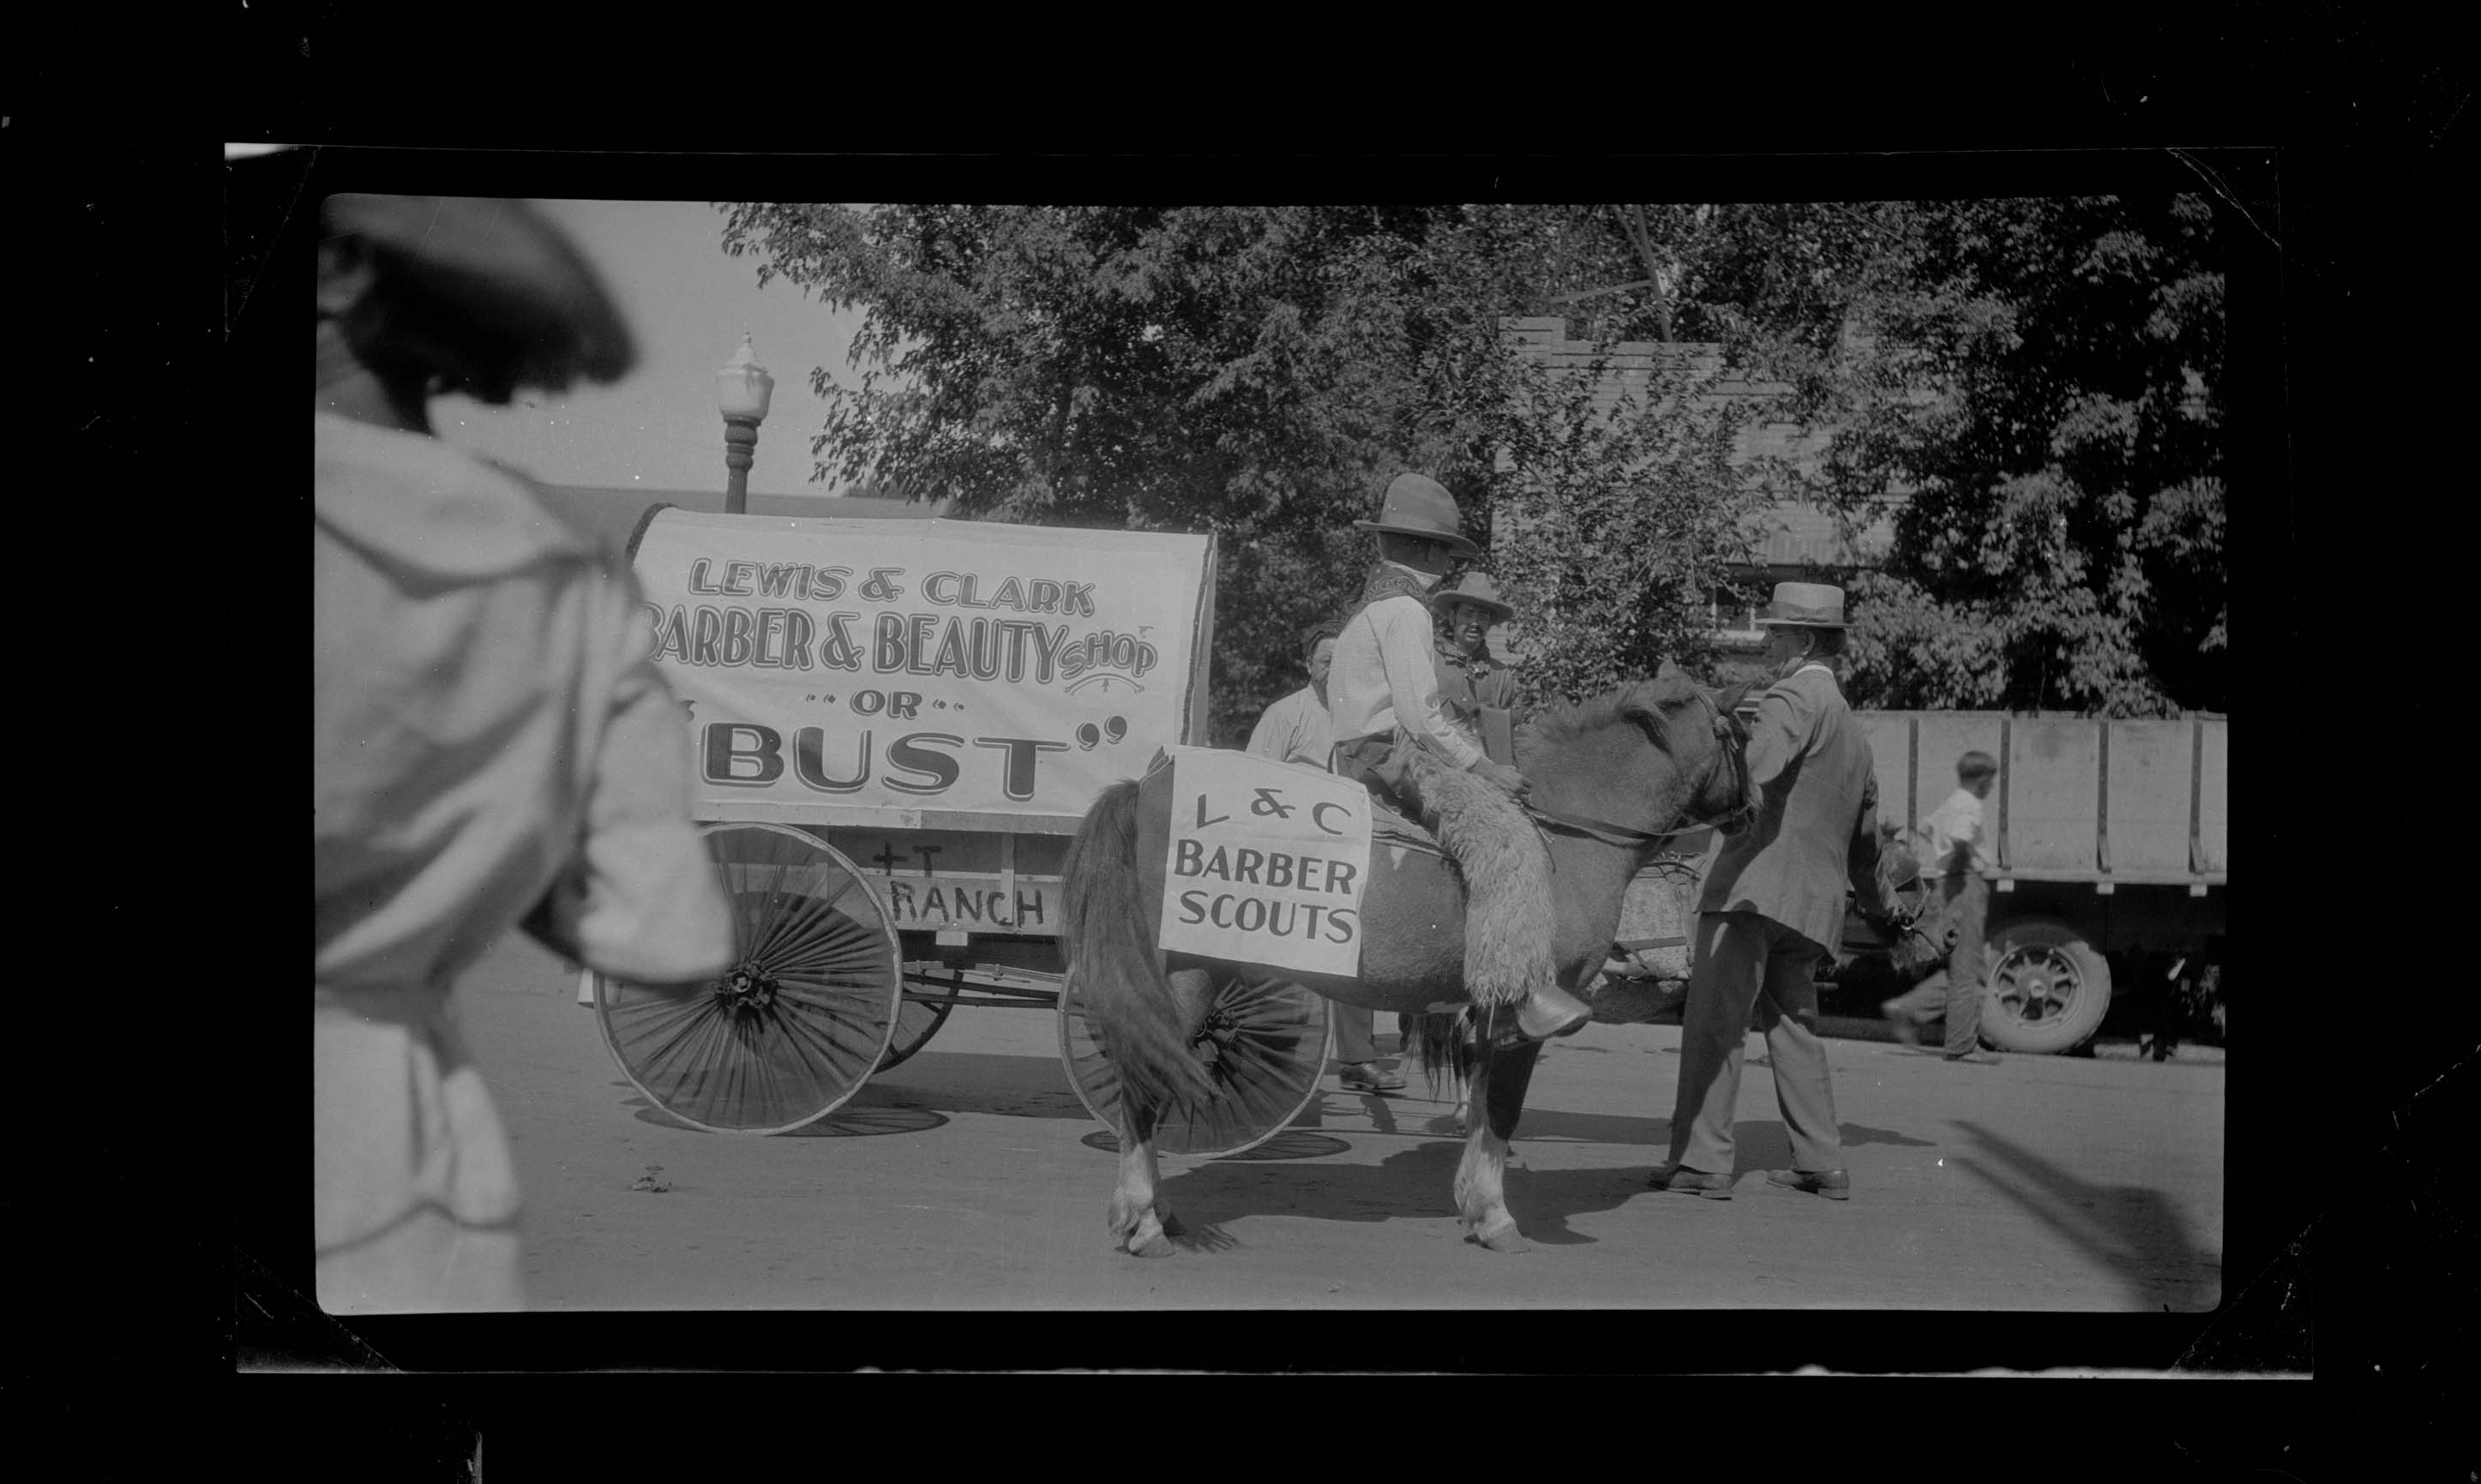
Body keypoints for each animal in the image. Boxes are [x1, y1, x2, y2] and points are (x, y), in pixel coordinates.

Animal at [1056, 670, 1756, 1260]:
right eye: (1744, 735)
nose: (1750, 812)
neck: (1563, 832)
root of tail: (1145, 789)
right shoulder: (1528, 1011)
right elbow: (1504, 1111)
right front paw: (1497, 1217)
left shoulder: (1490, 1012)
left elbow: (1482, 1107)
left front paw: (1475, 1204)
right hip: (1186, 977)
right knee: (1143, 1086)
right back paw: (1144, 1222)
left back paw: (1158, 1212)